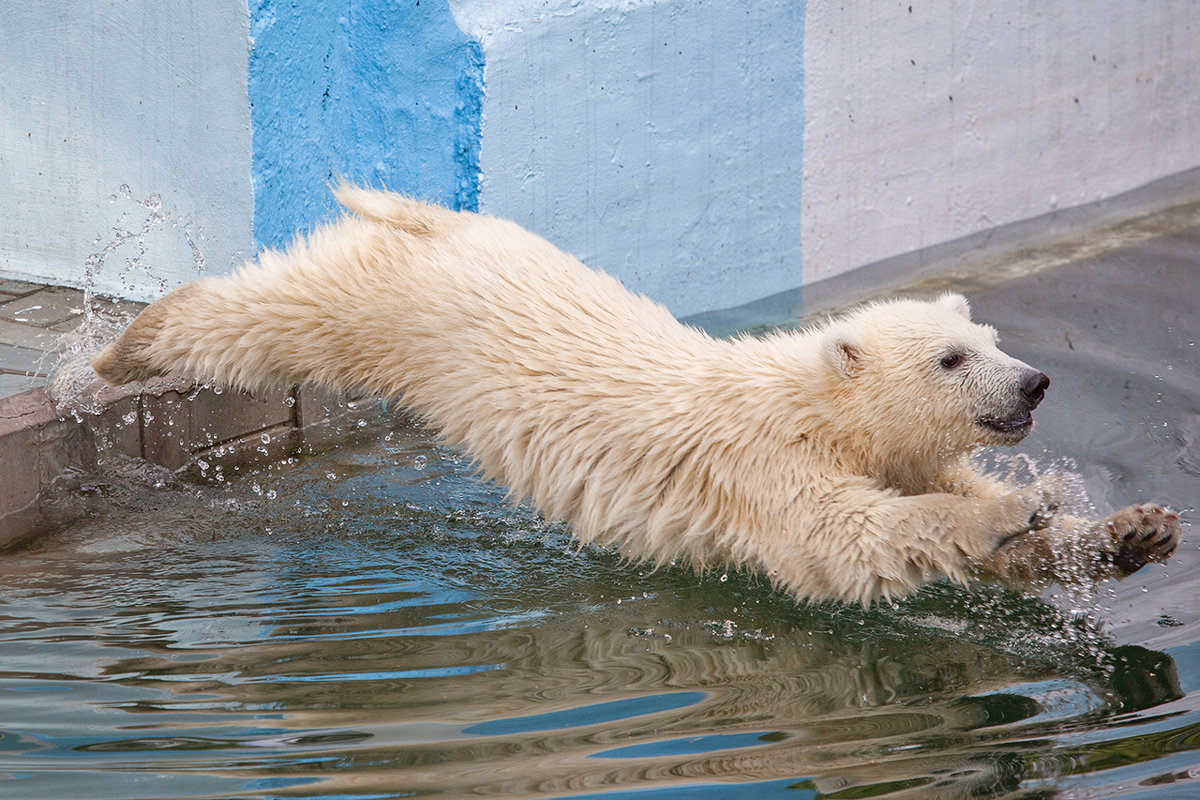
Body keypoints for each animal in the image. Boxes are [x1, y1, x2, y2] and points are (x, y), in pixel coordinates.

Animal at [88, 185, 1176, 599]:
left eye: (986, 337)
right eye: (950, 357)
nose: (1036, 378)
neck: (809, 408)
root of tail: (436, 218)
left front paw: (1133, 530)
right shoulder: (762, 468)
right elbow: (848, 543)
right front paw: (1020, 506)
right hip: (392, 308)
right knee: (266, 314)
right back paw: (117, 351)